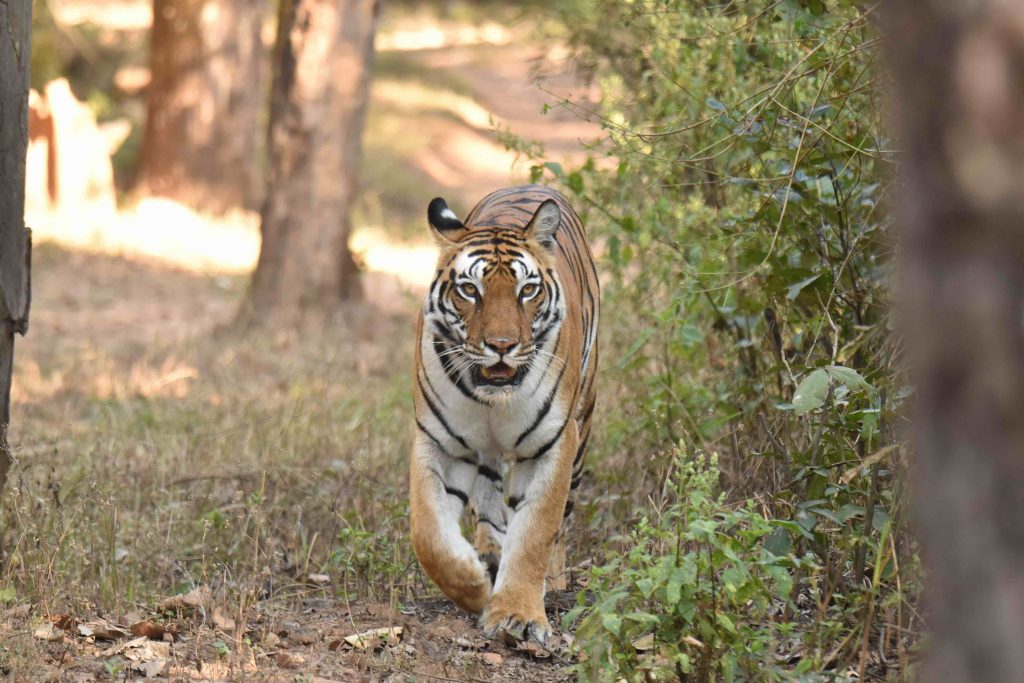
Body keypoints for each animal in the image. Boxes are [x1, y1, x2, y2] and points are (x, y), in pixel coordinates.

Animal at [409, 184, 598, 643]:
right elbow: (429, 534)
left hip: (583, 424)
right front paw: (475, 587)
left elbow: (536, 532)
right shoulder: (439, 441)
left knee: (560, 518)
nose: (501, 345)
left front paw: (518, 616)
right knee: (490, 501)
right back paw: (490, 555)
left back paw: (554, 578)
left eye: (527, 291)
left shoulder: (553, 444)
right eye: (469, 290)